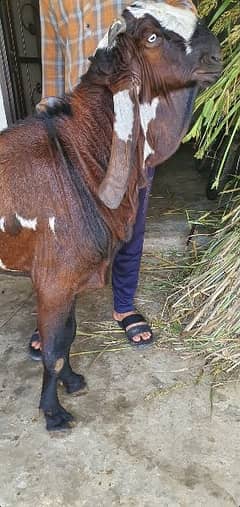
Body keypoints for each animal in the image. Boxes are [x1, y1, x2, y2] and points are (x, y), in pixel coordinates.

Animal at [0, 0, 221, 432]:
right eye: (151, 37)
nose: (218, 56)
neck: (74, 156)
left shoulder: (68, 281)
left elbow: (68, 337)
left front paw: (72, 382)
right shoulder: (54, 281)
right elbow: (53, 350)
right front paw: (54, 413)